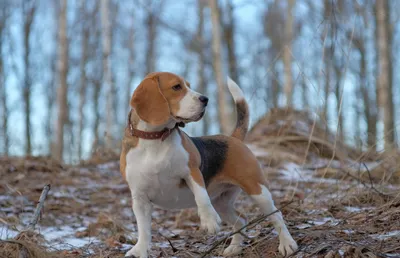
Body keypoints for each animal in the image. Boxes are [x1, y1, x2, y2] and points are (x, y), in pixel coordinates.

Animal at [120, 71, 298, 256]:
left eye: (189, 85)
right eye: (176, 87)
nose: (205, 99)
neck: (154, 139)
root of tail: (232, 138)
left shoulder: (192, 172)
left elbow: (201, 197)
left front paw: (209, 221)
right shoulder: (140, 197)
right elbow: (143, 229)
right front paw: (139, 251)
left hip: (257, 190)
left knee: (277, 215)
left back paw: (287, 244)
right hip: (222, 202)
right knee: (241, 220)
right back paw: (234, 248)